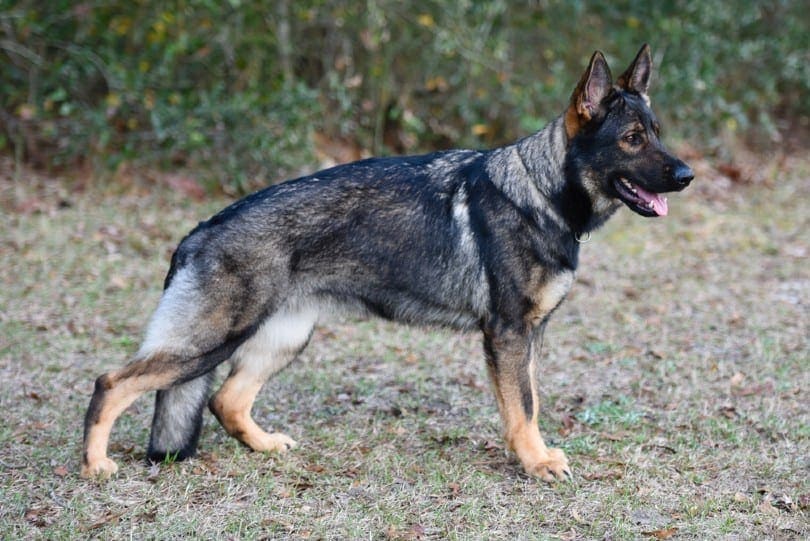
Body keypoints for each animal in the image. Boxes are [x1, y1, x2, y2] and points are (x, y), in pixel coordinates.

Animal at [82, 44, 692, 478]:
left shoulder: (526, 339)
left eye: (657, 133)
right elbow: (523, 408)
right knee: (112, 382)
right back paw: (95, 466)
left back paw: (265, 446)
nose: (687, 175)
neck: (541, 193)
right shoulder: (508, 336)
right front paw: (536, 463)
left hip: (282, 338)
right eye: (632, 139)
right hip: (211, 342)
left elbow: (529, 404)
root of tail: (199, 231)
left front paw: (530, 456)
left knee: (225, 401)